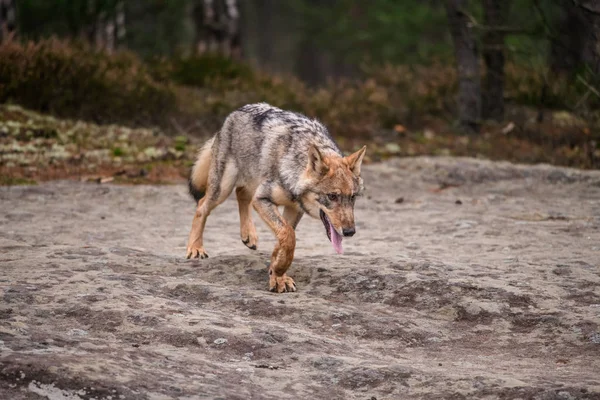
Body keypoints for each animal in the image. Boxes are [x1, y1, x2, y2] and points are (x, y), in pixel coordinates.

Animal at [188, 101, 366, 292]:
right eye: (332, 196)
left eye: (353, 197)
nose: (350, 232)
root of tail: (236, 111)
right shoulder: (262, 199)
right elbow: (288, 236)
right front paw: (279, 272)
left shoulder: (294, 209)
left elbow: (284, 238)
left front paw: (276, 272)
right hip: (223, 189)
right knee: (202, 205)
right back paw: (195, 248)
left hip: (247, 183)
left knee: (241, 194)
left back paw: (248, 235)